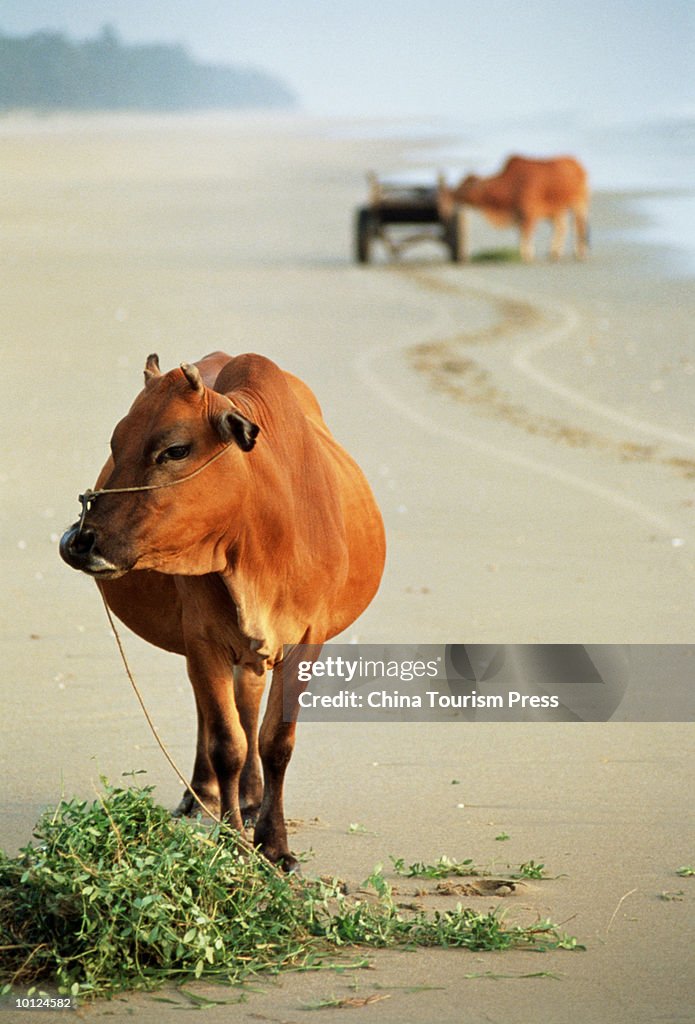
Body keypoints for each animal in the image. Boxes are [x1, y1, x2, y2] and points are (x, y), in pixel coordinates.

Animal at [59, 350, 386, 864]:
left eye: (175, 450)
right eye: (115, 443)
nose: (80, 541)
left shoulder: (306, 641)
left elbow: (276, 743)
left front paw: (274, 844)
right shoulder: (203, 639)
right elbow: (226, 743)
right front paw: (232, 840)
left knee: (249, 710)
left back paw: (251, 800)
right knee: (217, 715)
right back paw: (202, 796)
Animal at [438, 154, 589, 262]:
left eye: (465, 187)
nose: (451, 196)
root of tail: (577, 164)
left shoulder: (529, 213)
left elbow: (526, 234)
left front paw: (527, 255)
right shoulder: (520, 215)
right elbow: (521, 234)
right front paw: (523, 253)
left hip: (579, 203)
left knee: (579, 226)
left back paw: (580, 252)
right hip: (556, 210)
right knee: (561, 227)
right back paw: (554, 252)